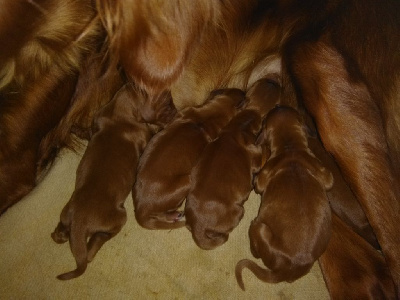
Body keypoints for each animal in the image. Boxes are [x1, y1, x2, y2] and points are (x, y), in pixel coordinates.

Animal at [50, 84, 172, 278]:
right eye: (165, 102)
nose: (175, 110)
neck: (117, 112)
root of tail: (79, 224)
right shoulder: (144, 135)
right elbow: (152, 133)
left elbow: (88, 131)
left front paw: (76, 129)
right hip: (119, 217)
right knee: (94, 247)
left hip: (65, 215)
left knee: (60, 234)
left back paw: (59, 234)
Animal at [134, 88, 244, 230]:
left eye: (231, 89)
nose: (244, 91)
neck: (206, 116)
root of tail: (141, 209)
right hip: (187, 180)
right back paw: (174, 215)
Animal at [185, 78, 282, 250]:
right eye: (277, 103)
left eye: (256, 84)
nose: (272, 79)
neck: (249, 114)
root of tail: (198, 227)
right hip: (239, 211)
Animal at [234, 105, 334, 288]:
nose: (280, 105)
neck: (291, 147)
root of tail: (284, 270)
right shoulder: (325, 174)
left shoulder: (261, 179)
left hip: (260, 227)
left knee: (255, 247)